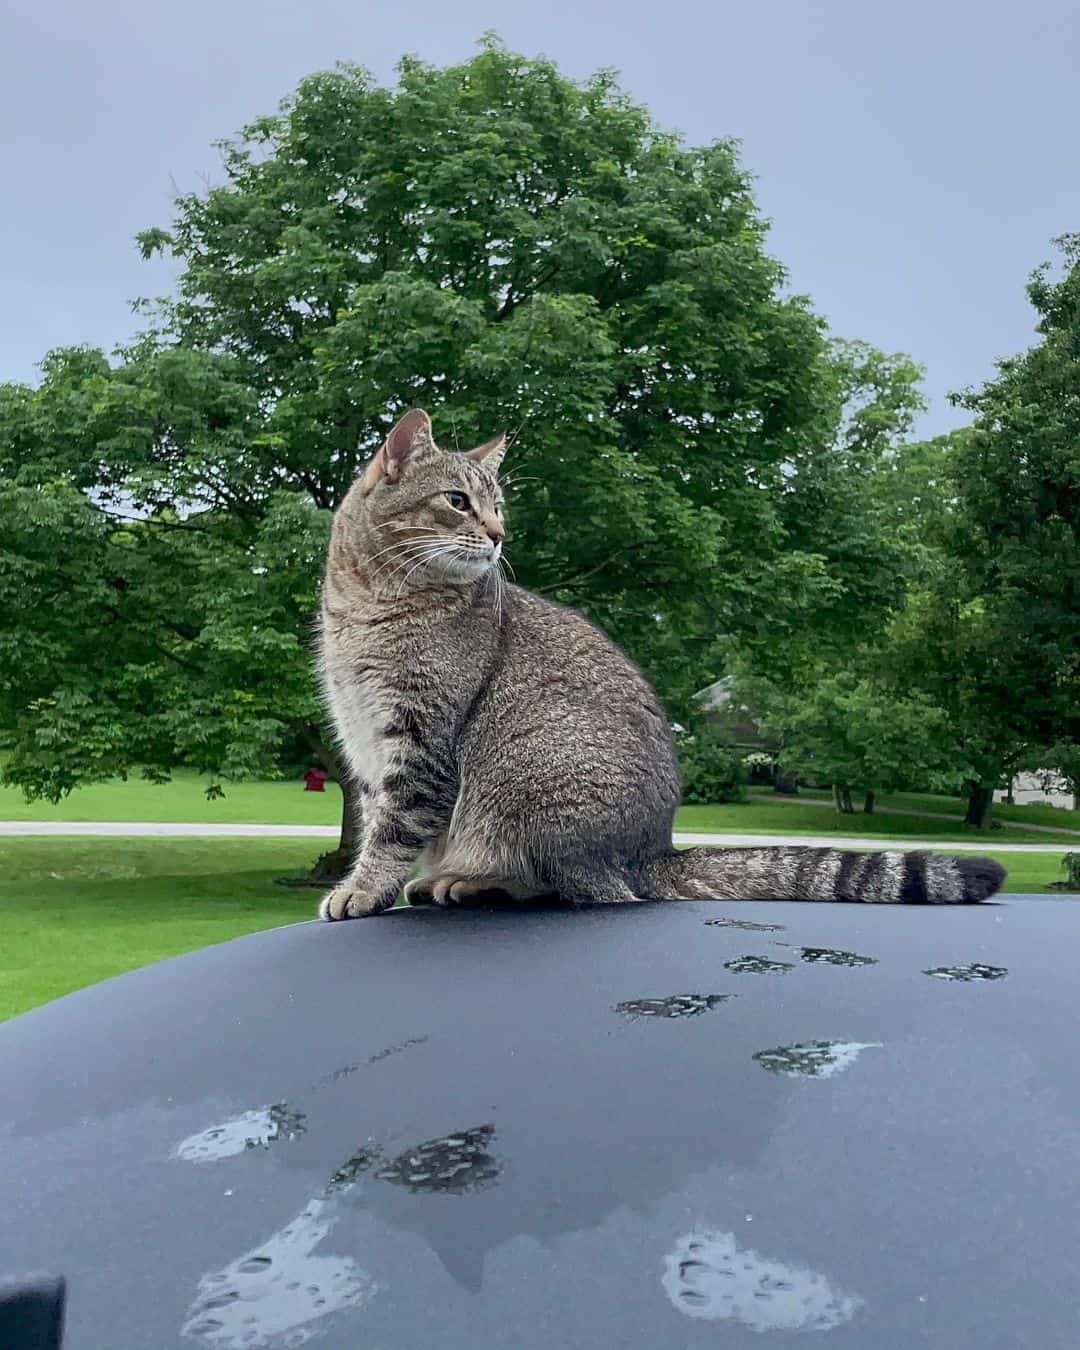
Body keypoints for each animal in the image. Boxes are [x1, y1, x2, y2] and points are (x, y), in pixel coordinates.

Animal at [315, 407, 1009, 918]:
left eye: (498, 506)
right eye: (458, 500)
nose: (497, 535)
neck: (368, 605)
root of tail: (655, 851)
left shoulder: (420, 739)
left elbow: (394, 829)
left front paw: (363, 889)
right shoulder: (367, 740)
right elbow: (377, 817)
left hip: (532, 777)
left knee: (574, 887)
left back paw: (475, 881)